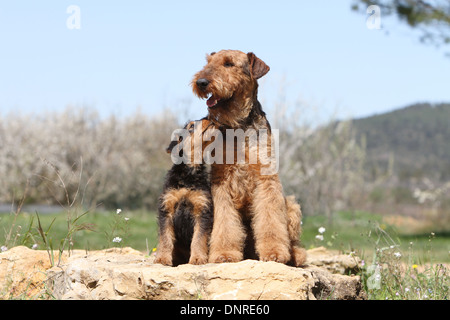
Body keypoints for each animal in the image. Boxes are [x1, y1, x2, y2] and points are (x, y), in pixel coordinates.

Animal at [155, 121, 213, 266]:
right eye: (191, 126)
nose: (208, 119)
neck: (189, 173)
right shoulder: (166, 209)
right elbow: (165, 238)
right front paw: (162, 258)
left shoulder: (202, 210)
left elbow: (198, 238)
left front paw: (197, 258)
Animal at [192, 52, 308, 268]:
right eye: (208, 62)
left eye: (229, 64)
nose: (201, 82)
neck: (239, 126)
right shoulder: (221, 183)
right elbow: (225, 224)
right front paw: (224, 254)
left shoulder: (266, 180)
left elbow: (271, 221)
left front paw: (274, 253)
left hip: (291, 205)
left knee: (294, 241)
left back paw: (295, 255)